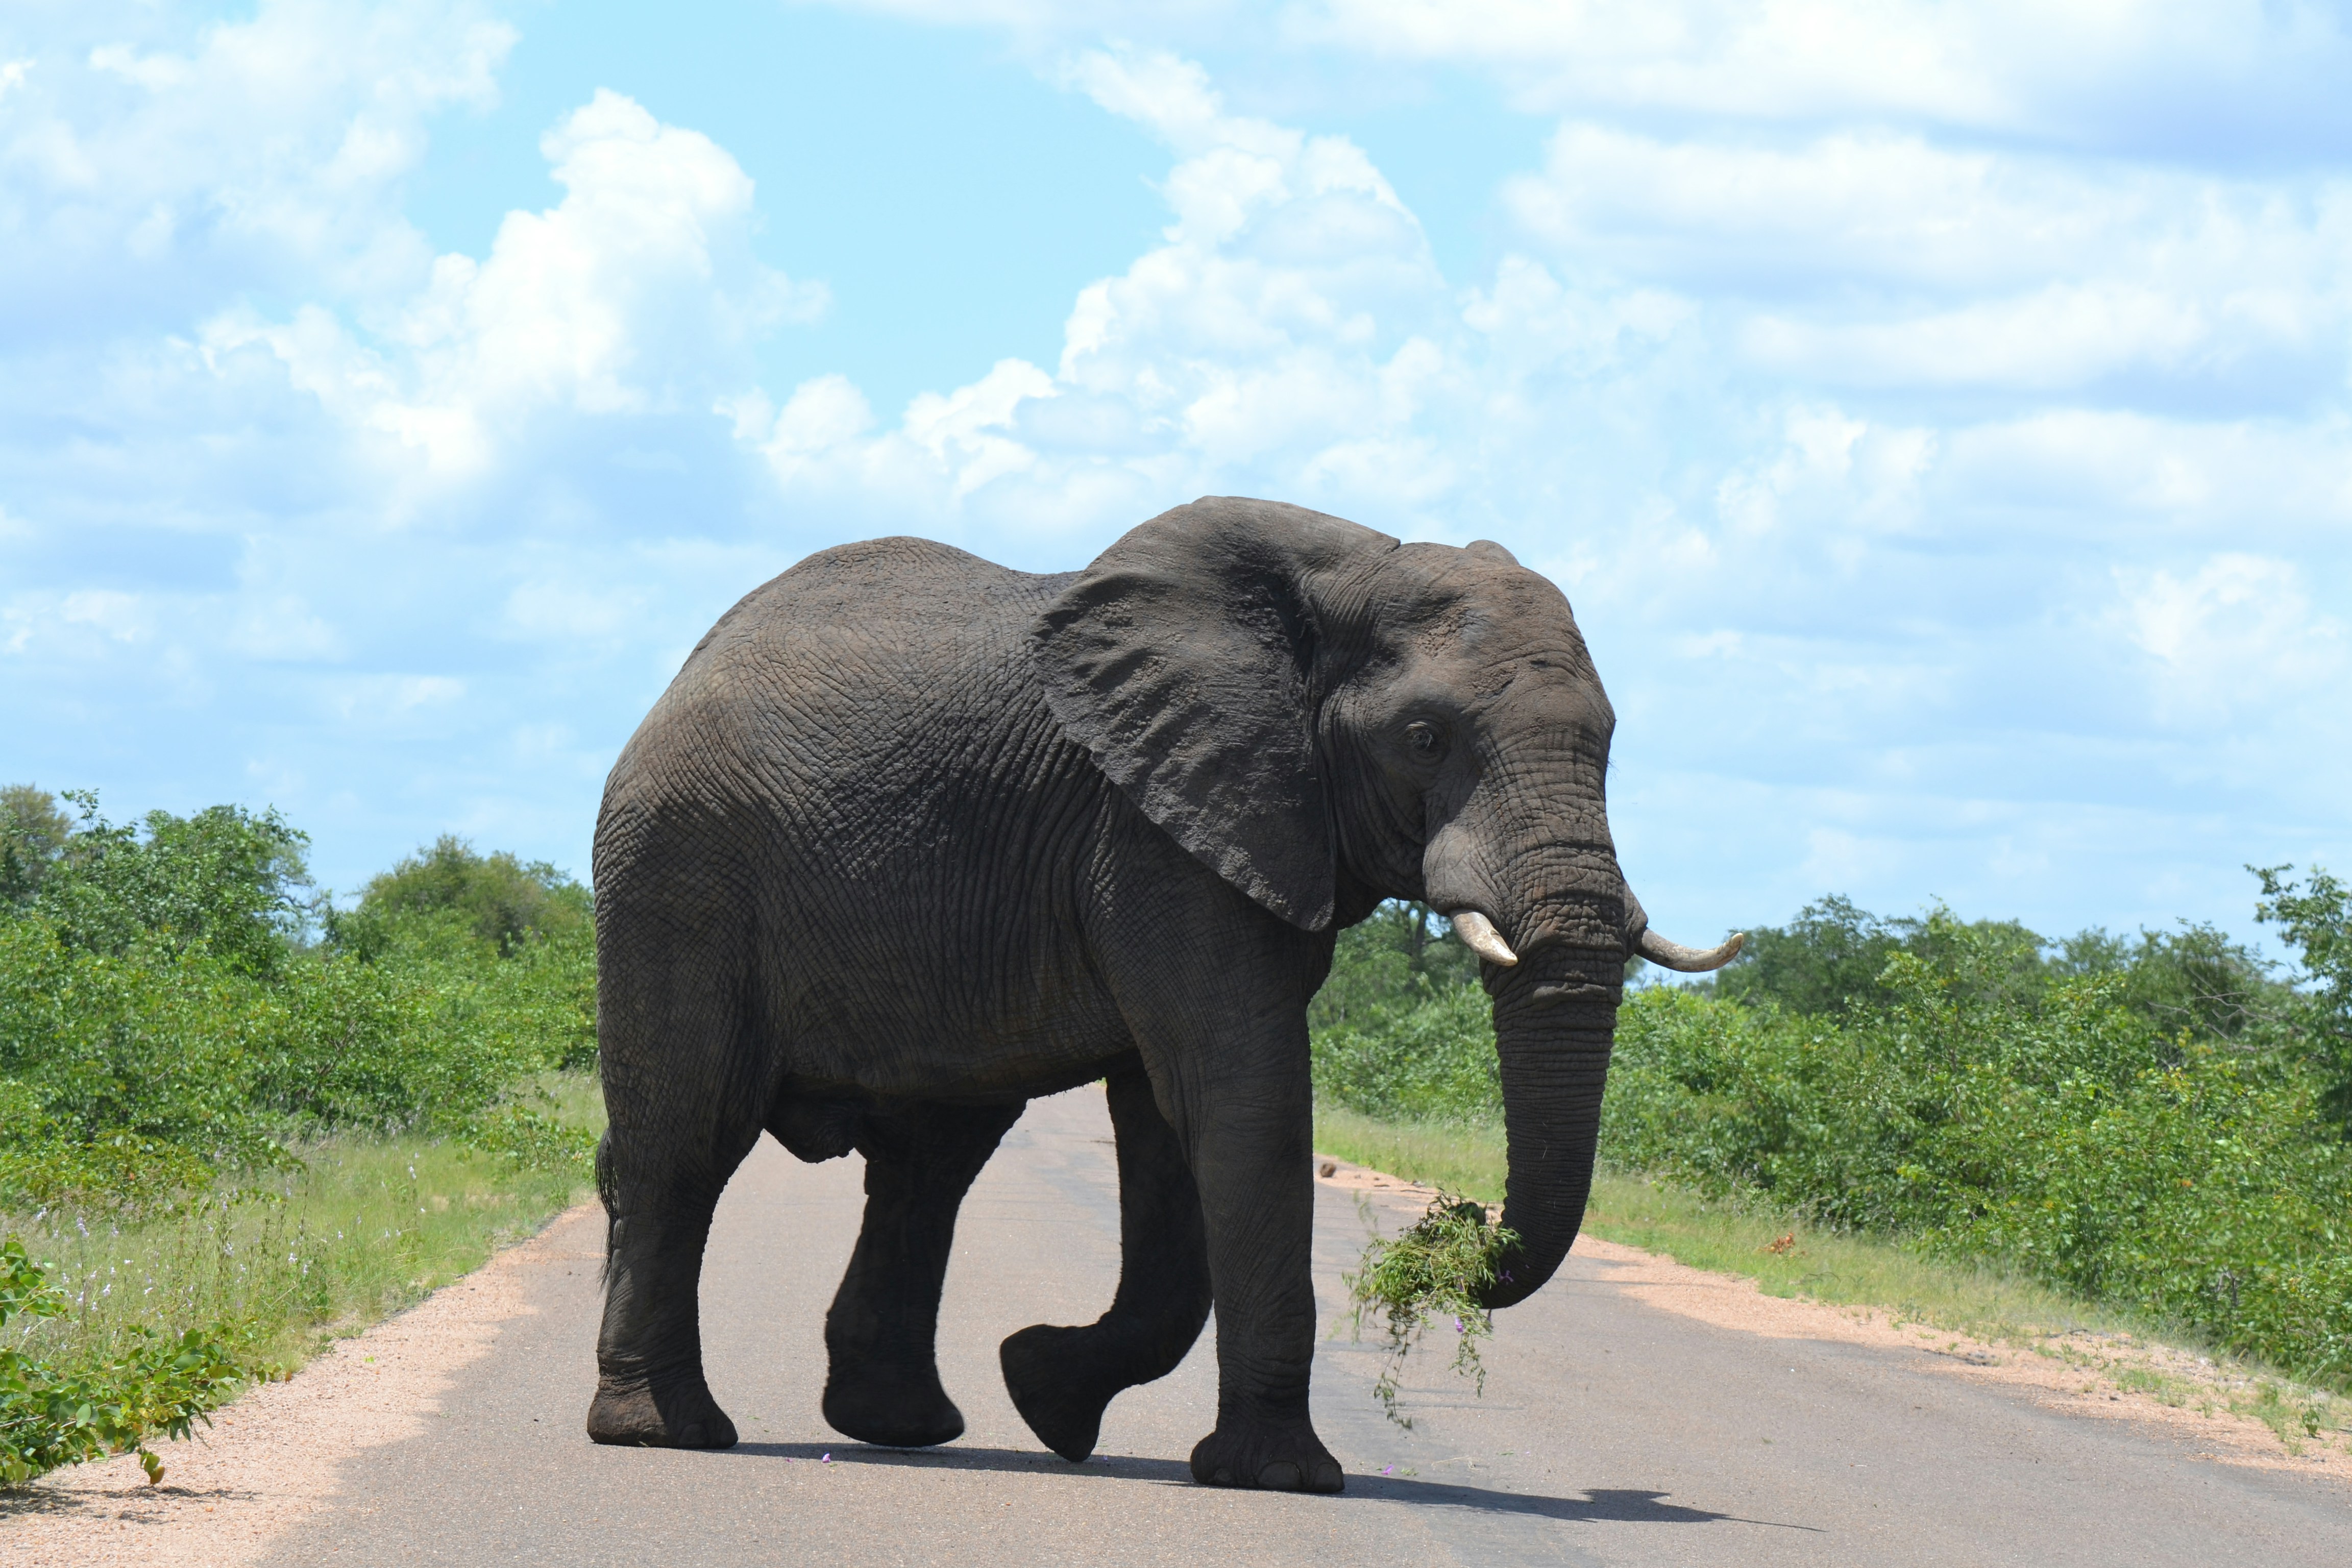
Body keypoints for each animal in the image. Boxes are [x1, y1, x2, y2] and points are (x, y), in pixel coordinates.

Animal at [585, 495, 1739, 1492]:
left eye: (1611, 743)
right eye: (1424, 739)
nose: (1446, 1230)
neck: (1349, 571)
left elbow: (1175, 1123)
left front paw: (1044, 1393)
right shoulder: (1151, 829)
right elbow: (1243, 1100)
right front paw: (1283, 1479)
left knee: (930, 1161)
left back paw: (903, 1427)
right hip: (678, 875)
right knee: (689, 1139)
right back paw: (664, 1434)